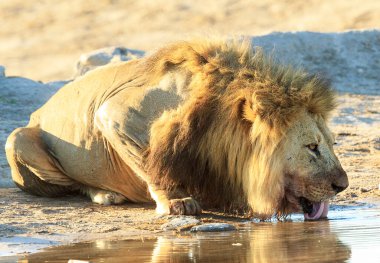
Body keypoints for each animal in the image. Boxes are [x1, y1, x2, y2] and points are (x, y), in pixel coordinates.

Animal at [4, 38, 348, 221]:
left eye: (332, 144)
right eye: (312, 147)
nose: (343, 186)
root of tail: (38, 111)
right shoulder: (116, 113)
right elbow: (150, 165)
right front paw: (176, 201)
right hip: (17, 139)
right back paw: (105, 193)